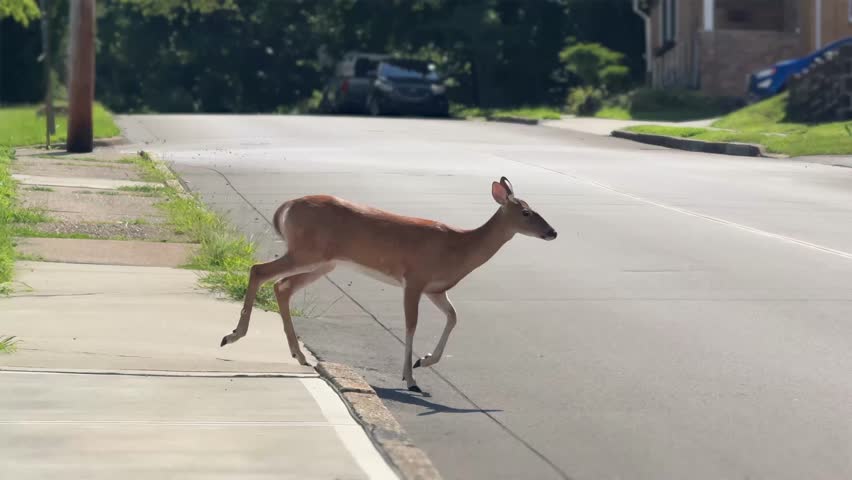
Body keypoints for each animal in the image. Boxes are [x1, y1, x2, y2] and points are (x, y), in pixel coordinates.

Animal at [220, 177, 557, 393]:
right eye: (526, 212)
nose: (552, 232)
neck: (459, 246)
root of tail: (288, 205)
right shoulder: (415, 278)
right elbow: (411, 325)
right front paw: (411, 379)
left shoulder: (436, 289)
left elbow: (454, 317)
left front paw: (424, 361)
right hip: (307, 251)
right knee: (260, 271)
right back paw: (232, 336)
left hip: (322, 261)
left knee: (282, 286)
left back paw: (298, 355)